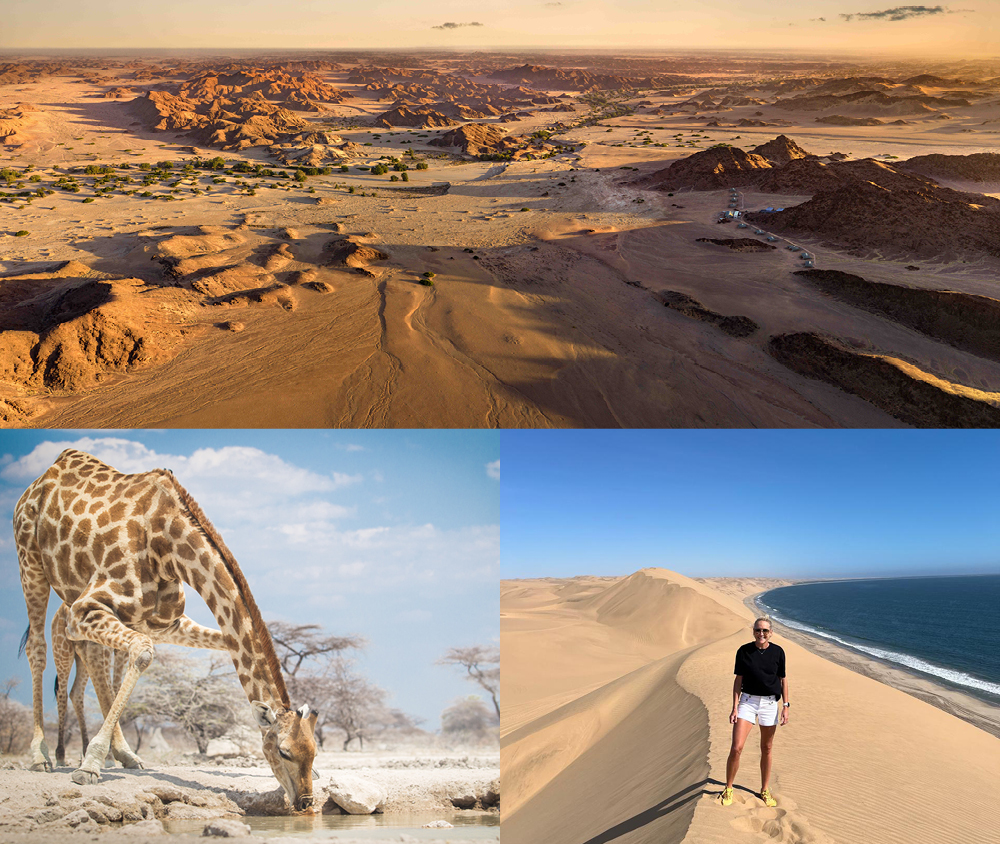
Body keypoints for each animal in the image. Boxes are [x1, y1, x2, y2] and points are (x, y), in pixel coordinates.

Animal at [15, 448, 319, 811]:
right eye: (284, 752)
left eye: (314, 753)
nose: (306, 802)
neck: (169, 548)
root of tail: (44, 475)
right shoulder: (83, 610)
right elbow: (143, 654)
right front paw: (89, 765)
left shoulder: (164, 623)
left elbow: (221, 644)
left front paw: (103, 756)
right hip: (30, 561)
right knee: (37, 648)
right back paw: (43, 756)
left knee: (94, 661)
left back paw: (123, 755)